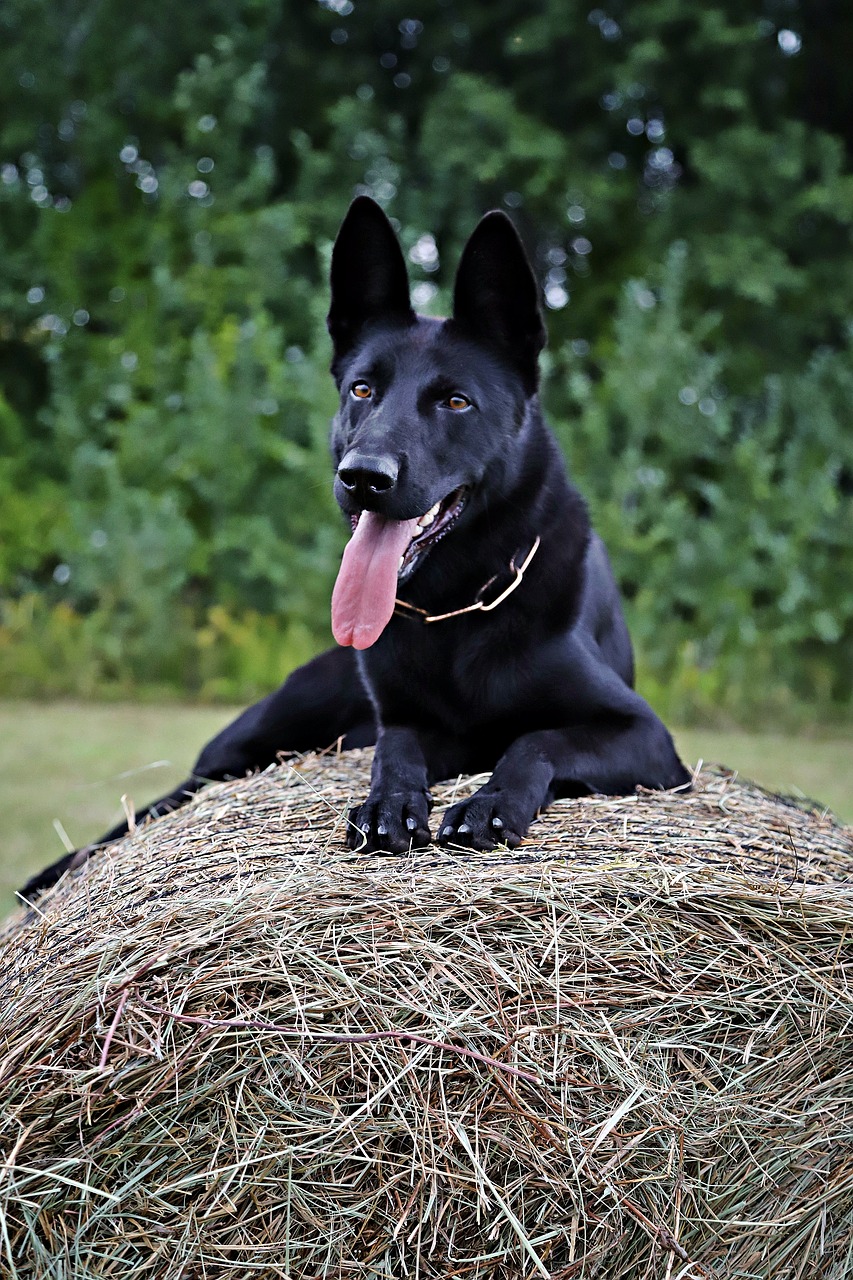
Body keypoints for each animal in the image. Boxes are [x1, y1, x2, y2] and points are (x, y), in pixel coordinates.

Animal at [19, 197, 686, 901]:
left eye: (456, 401)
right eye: (362, 390)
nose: (363, 477)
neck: (458, 609)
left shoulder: (645, 737)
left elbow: (535, 740)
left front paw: (489, 803)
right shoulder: (412, 723)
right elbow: (395, 750)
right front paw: (390, 802)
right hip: (256, 737)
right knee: (165, 802)